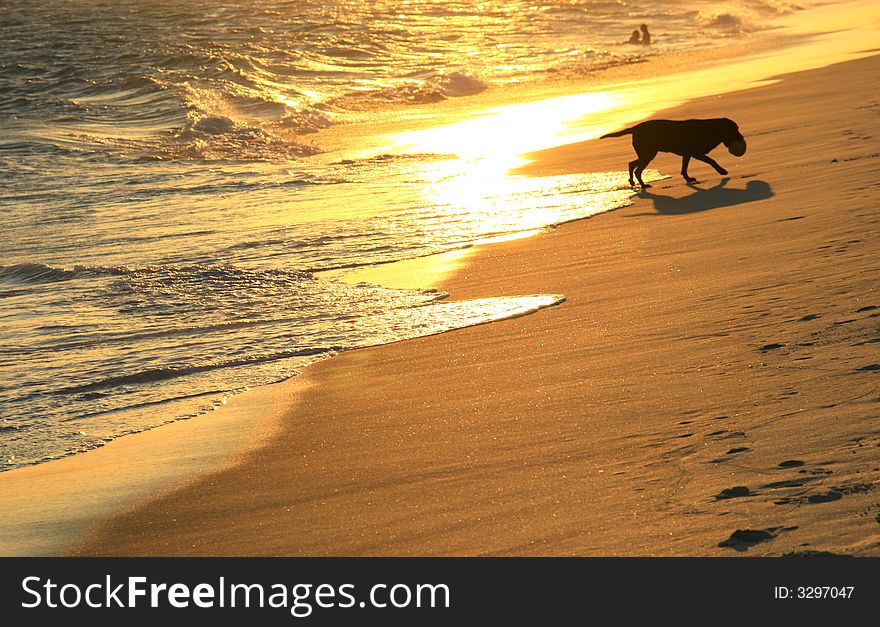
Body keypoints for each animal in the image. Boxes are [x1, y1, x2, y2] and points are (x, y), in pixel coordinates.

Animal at [600, 118, 744, 186]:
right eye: (735, 129)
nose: (742, 138)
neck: (711, 129)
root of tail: (635, 128)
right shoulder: (696, 152)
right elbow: (711, 160)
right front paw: (722, 171)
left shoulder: (687, 154)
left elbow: (684, 168)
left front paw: (688, 178)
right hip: (648, 154)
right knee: (637, 169)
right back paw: (643, 185)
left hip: (646, 154)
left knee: (631, 164)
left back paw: (633, 182)